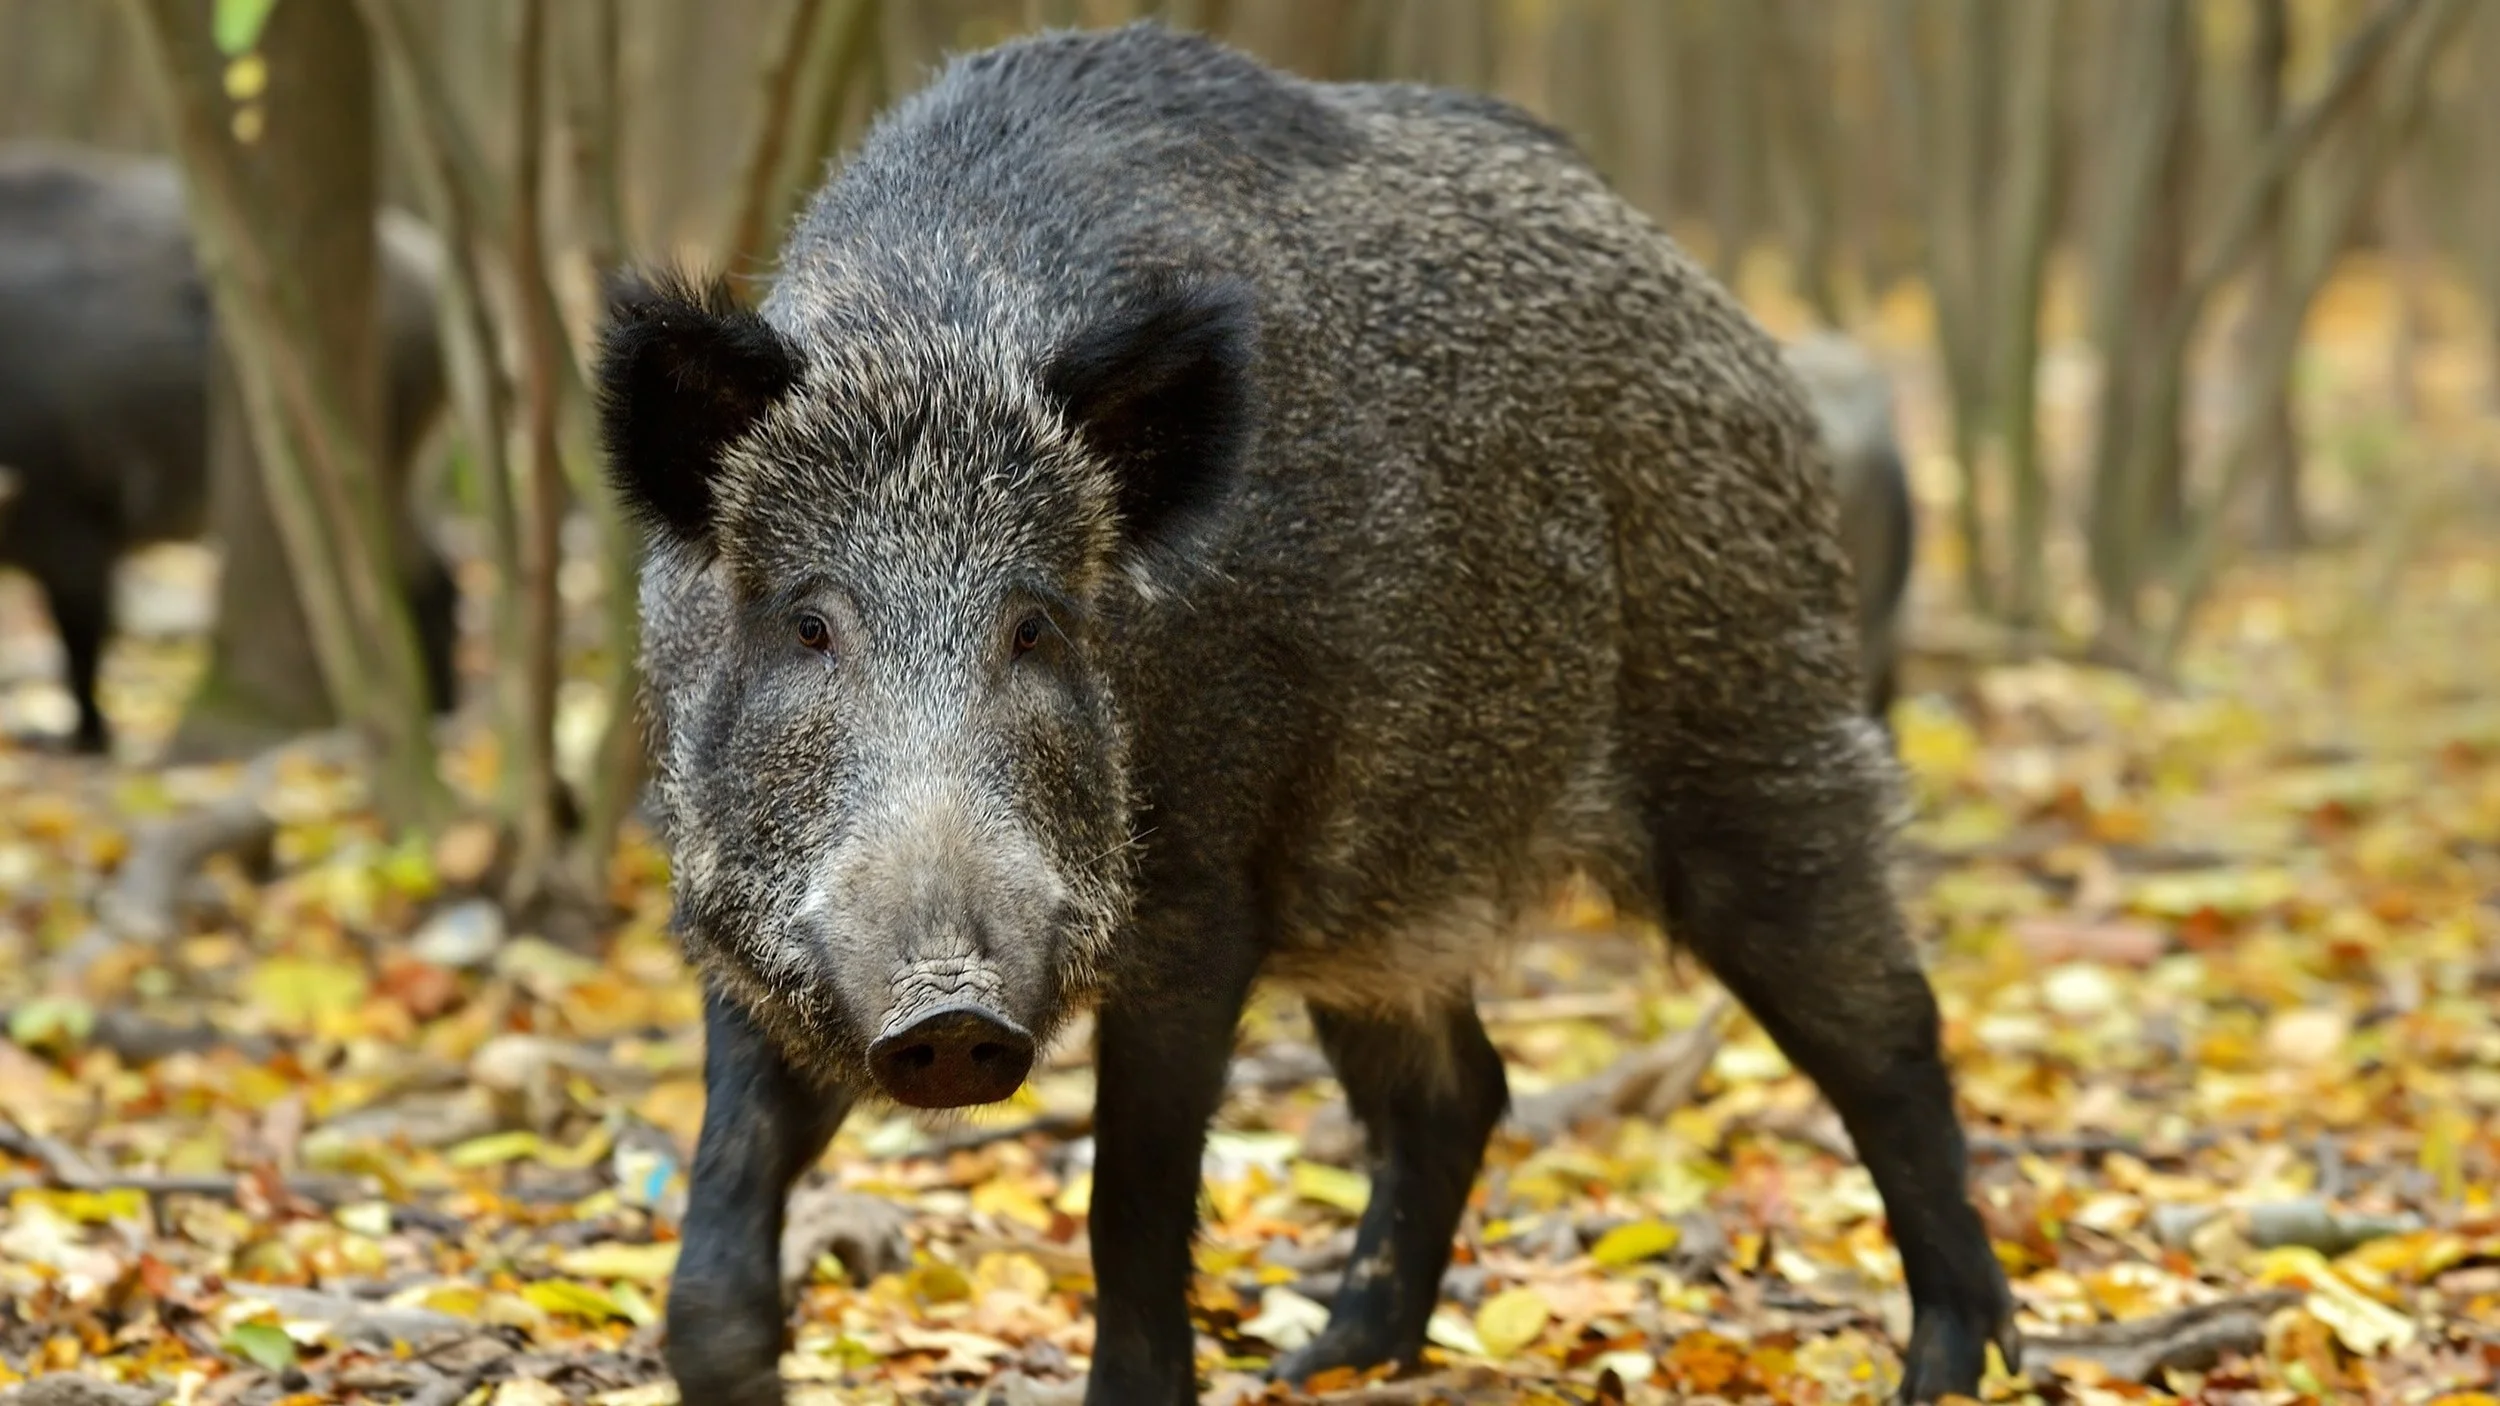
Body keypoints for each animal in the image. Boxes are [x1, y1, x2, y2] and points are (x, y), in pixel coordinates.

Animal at [0, 143, 455, 753]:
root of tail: (430, 271)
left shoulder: (69, 522)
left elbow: (84, 635)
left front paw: (84, 741)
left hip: (383, 458)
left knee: (422, 579)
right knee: (429, 574)